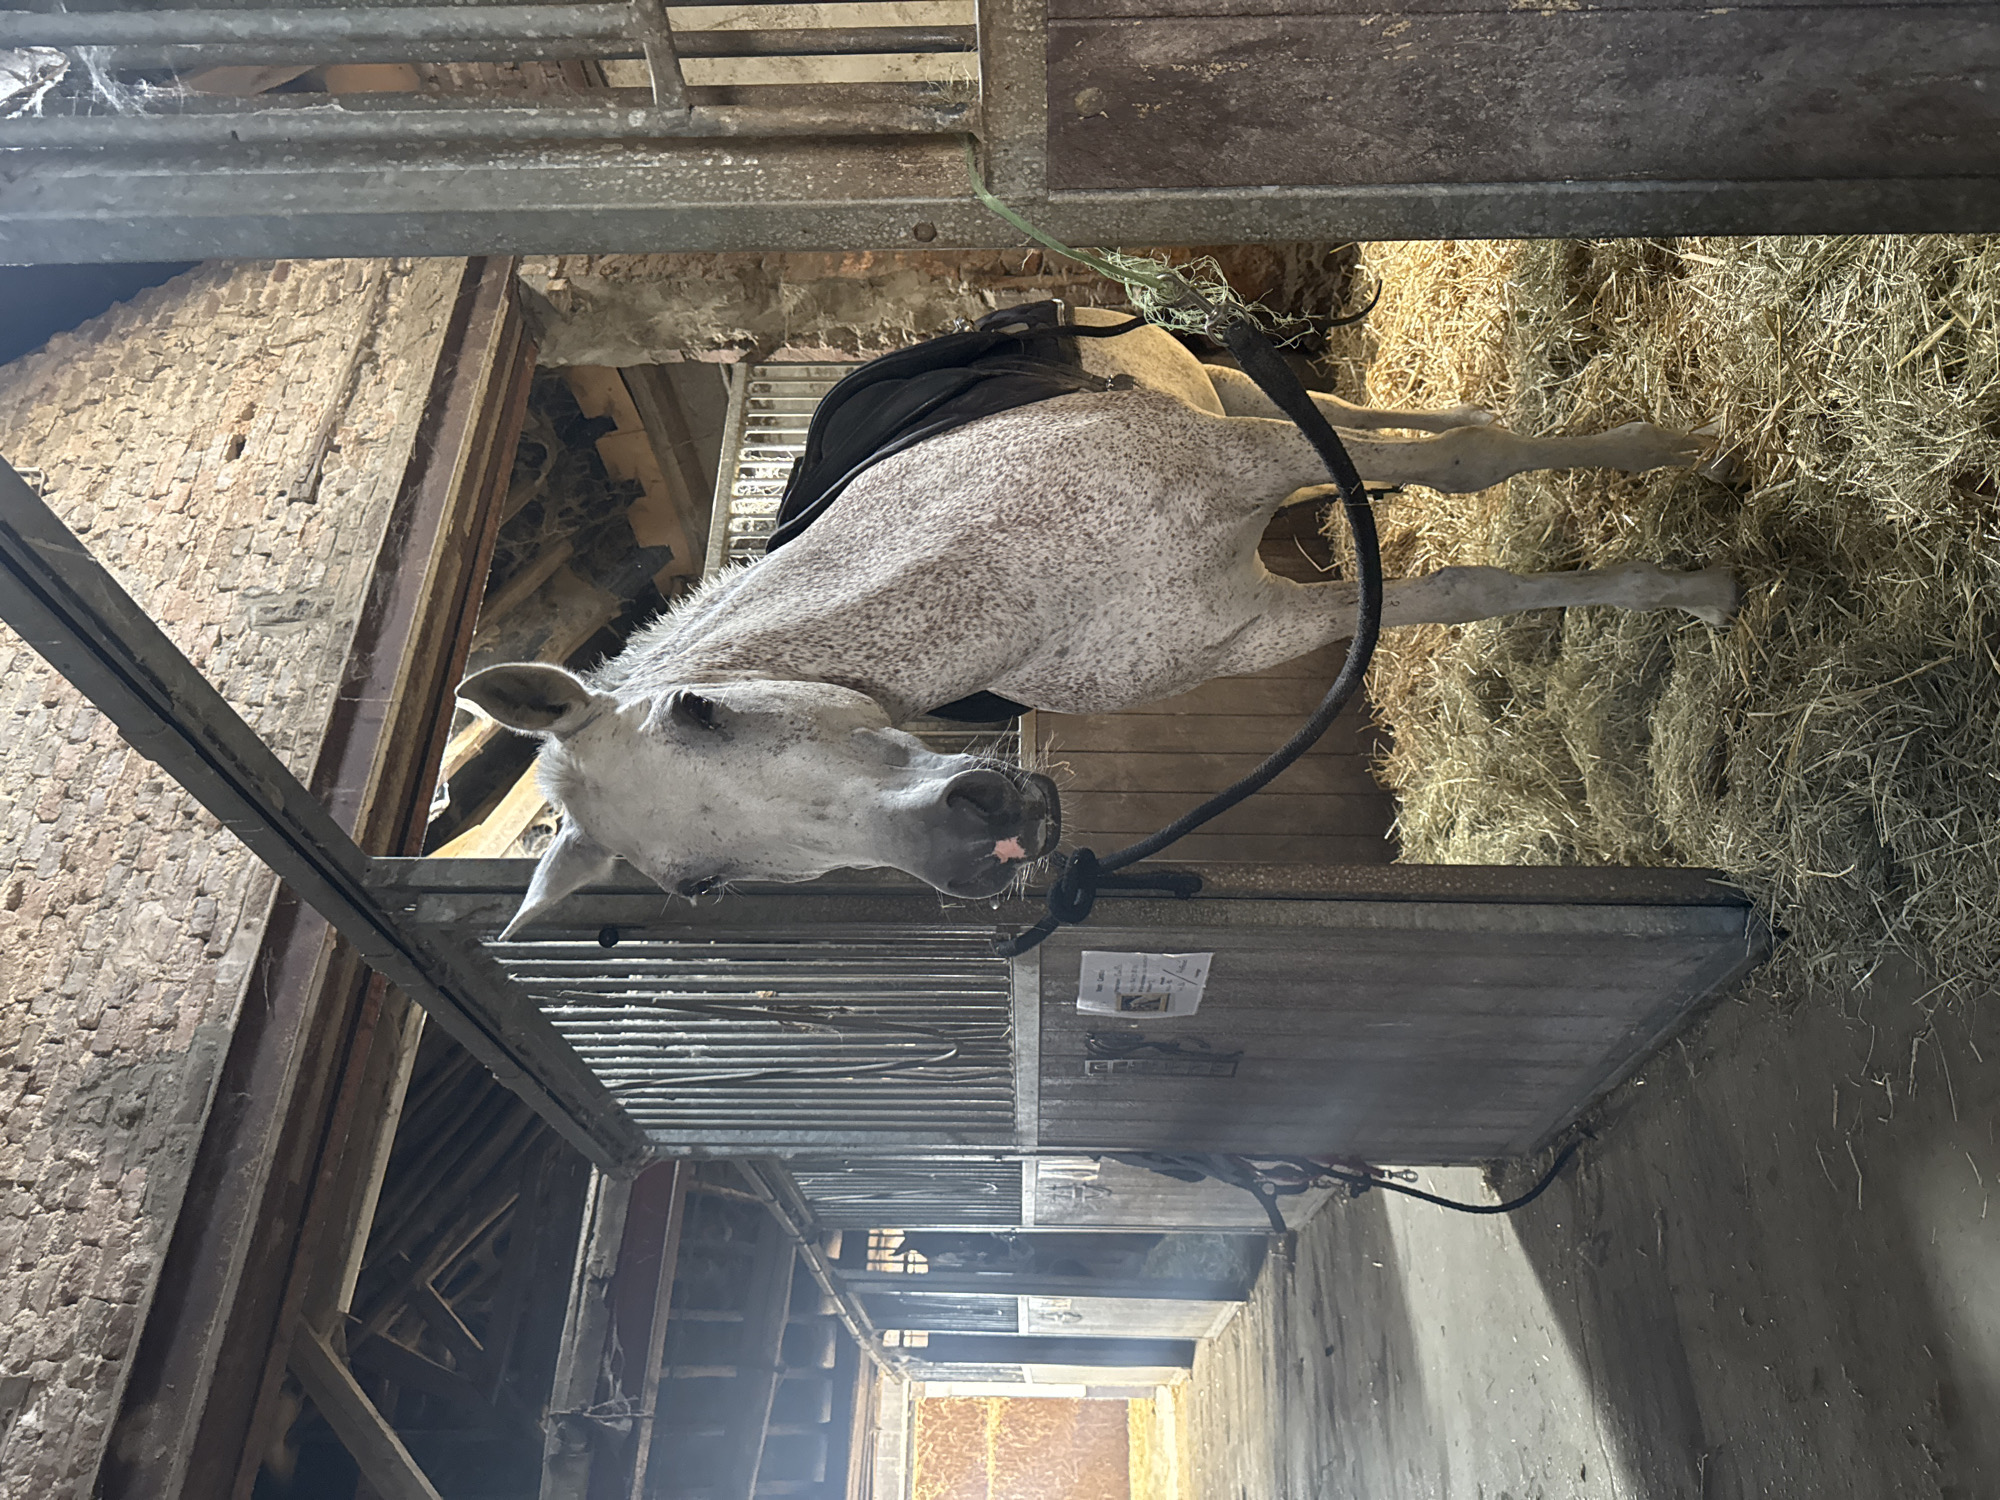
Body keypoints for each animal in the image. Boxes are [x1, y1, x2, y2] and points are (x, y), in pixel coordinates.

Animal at [461, 309, 1737, 935]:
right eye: (701, 887)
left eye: (697, 710)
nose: (975, 847)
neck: (1004, 573)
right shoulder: (1252, 624)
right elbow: (1453, 591)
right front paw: (1679, 583)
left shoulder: (1242, 455)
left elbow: (1471, 469)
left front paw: (1681, 494)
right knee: (1352, 442)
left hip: (1227, 396)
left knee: (1361, 418)